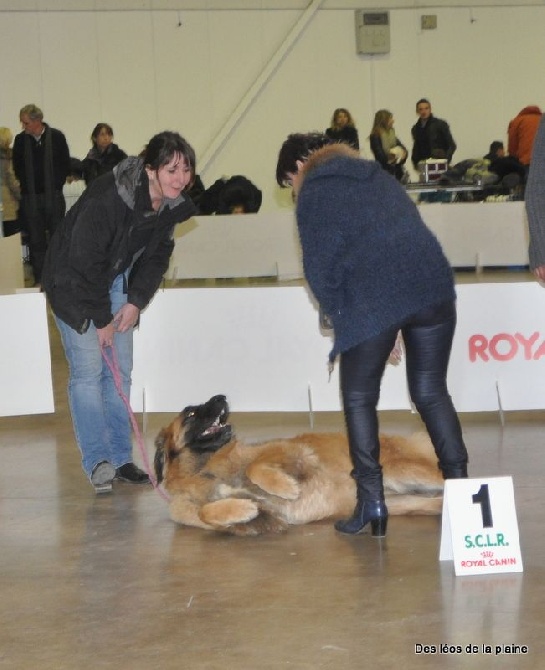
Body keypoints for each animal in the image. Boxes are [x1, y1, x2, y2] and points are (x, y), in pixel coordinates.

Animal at [153, 396, 442, 540]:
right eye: (190, 414)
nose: (221, 397)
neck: (206, 468)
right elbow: (205, 512)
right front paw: (243, 508)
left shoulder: (292, 451)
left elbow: (255, 466)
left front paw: (286, 488)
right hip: (401, 502)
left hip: (406, 470)